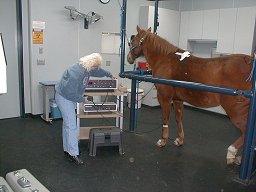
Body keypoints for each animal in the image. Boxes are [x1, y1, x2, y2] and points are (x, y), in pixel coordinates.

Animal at [127, 25, 253, 165]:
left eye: (132, 41)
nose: (129, 58)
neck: (165, 59)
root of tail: (251, 62)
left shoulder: (164, 98)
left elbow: (165, 118)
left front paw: (163, 140)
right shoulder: (177, 99)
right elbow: (178, 118)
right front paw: (179, 140)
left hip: (236, 111)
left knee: (246, 131)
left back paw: (232, 152)